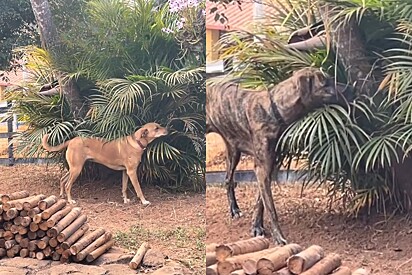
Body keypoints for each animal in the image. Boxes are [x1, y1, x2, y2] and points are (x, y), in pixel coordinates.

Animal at [205, 68, 348, 245]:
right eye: (325, 83)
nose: (351, 88)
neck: (274, 110)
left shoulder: (270, 165)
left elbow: (260, 202)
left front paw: (257, 226)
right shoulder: (262, 168)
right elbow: (271, 209)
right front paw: (279, 237)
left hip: (233, 151)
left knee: (228, 180)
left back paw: (234, 209)